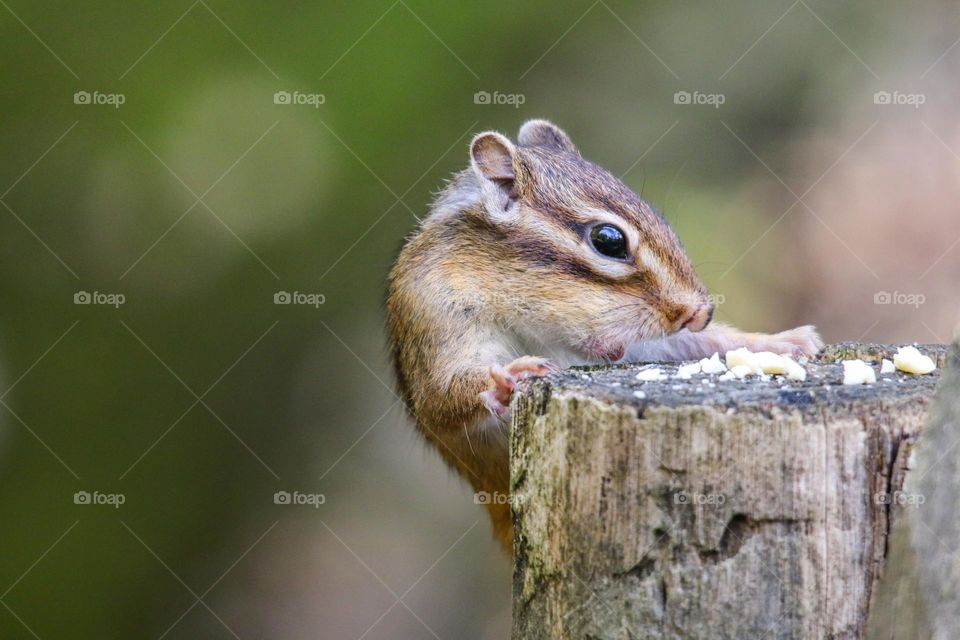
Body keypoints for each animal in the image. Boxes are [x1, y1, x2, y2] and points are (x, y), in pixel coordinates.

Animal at [386, 120, 823, 553]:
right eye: (609, 240)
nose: (700, 312)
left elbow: (697, 344)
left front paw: (781, 343)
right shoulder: (436, 311)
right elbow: (440, 396)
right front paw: (507, 375)